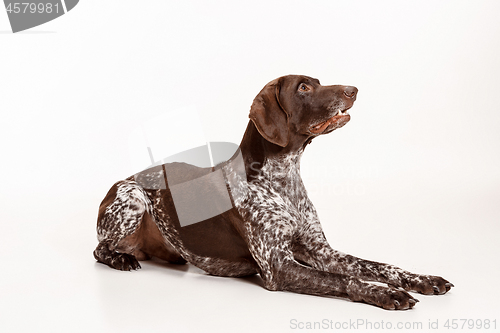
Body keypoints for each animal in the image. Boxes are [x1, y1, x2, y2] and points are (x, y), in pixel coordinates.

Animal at [94, 75, 454, 308]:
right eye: (304, 87)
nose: (353, 89)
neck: (283, 180)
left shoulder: (321, 251)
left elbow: (377, 265)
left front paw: (421, 279)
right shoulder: (278, 266)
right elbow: (344, 280)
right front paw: (384, 293)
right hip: (131, 197)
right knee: (100, 249)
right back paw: (122, 259)